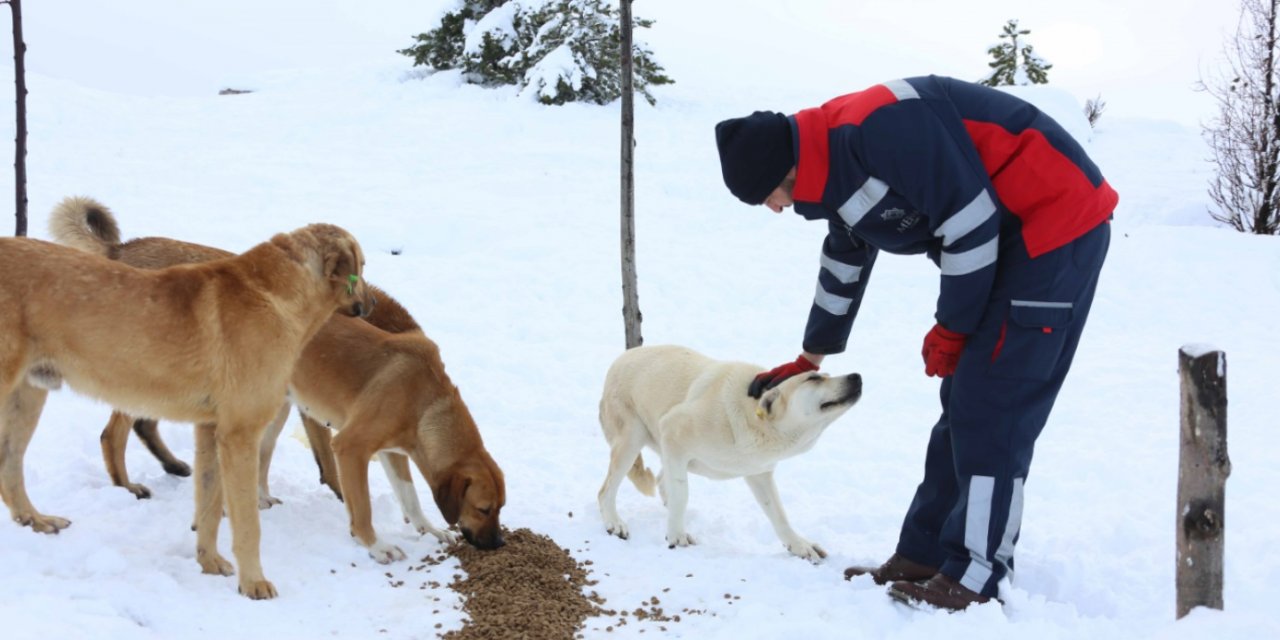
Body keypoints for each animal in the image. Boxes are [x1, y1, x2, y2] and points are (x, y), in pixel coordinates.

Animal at [0, 206, 373, 599]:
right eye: (362, 265)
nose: (373, 303)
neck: (279, 295)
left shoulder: (210, 431)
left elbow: (208, 508)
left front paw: (209, 564)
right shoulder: (240, 435)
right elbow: (247, 523)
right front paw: (253, 584)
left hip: (29, 394)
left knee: (10, 465)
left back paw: (36, 520)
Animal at [52, 195, 504, 565]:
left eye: (500, 508)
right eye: (484, 509)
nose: (498, 544)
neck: (426, 399)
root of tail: (118, 250)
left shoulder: (393, 451)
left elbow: (409, 497)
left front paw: (429, 528)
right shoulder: (351, 445)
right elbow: (358, 502)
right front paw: (375, 545)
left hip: (267, 406)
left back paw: (243, 493)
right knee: (114, 434)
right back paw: (131, 487)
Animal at [596, 345, 860, 560]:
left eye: (824, 375)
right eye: (813, 378)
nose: (856, 376)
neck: (753, 417)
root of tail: (621, 358)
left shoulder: (759, 473)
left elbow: (779, 514)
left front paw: (799, 545)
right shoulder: (672, 431)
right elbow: (682, 494)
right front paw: (676, 535)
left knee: (662, 480)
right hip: (632, 440)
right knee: (606, 491)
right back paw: (614, 522)